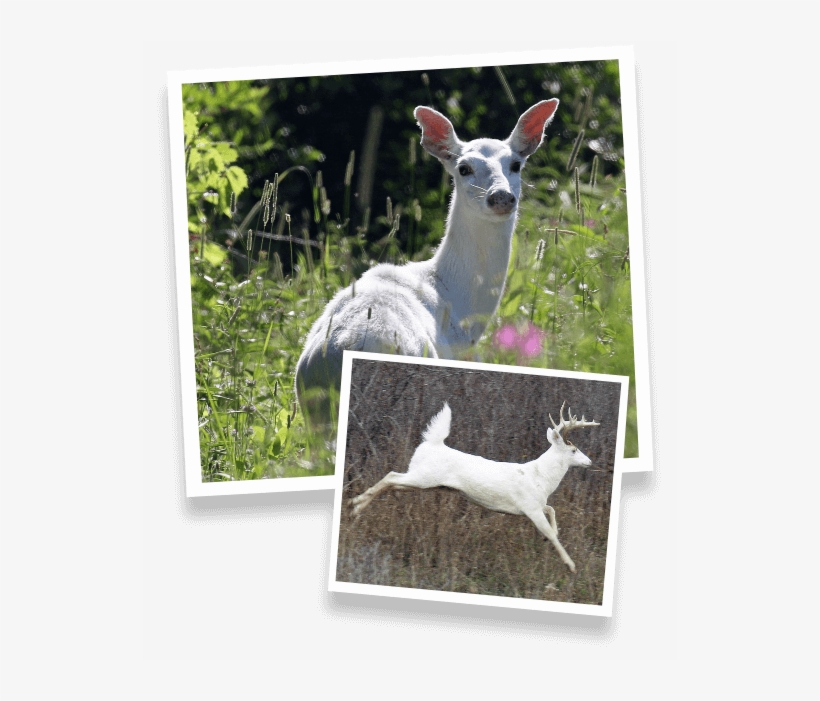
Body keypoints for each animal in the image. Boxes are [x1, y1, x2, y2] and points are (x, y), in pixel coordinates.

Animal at [349, 401, 600, 573]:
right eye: (574, 449)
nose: (589, 461)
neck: (542, 477)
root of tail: (432, 444)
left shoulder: (536, 505)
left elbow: (552, 512)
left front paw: (555, 537)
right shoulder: (529, 507)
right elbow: (548, 530)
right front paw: (571, 565)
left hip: (422, 482)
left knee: (392, 483)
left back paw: (357, 506)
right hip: (423, 477)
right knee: (390, 476)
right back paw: (355, 505)